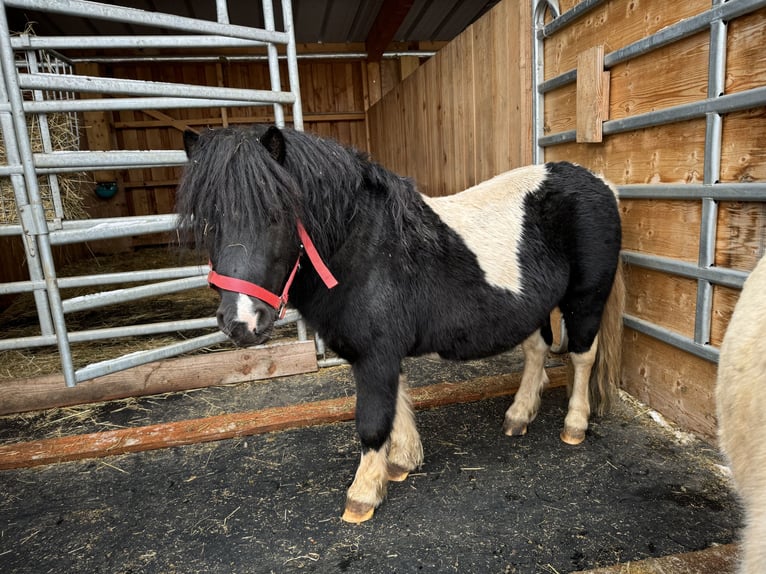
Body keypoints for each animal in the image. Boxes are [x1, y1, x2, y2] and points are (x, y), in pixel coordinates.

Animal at [177, 127, 628, 528]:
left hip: (586, 298)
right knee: (537, 351)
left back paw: (574, 425)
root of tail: (601, 183)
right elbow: (398, 402)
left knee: (583, 356)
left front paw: (363, 494)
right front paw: (401, 462)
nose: (242, 322)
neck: (367, 249)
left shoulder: (376, 355)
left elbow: (373, 419)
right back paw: (518, 416)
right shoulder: (384, 352)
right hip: (533, 307)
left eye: (277, 215)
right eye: (207, 221)